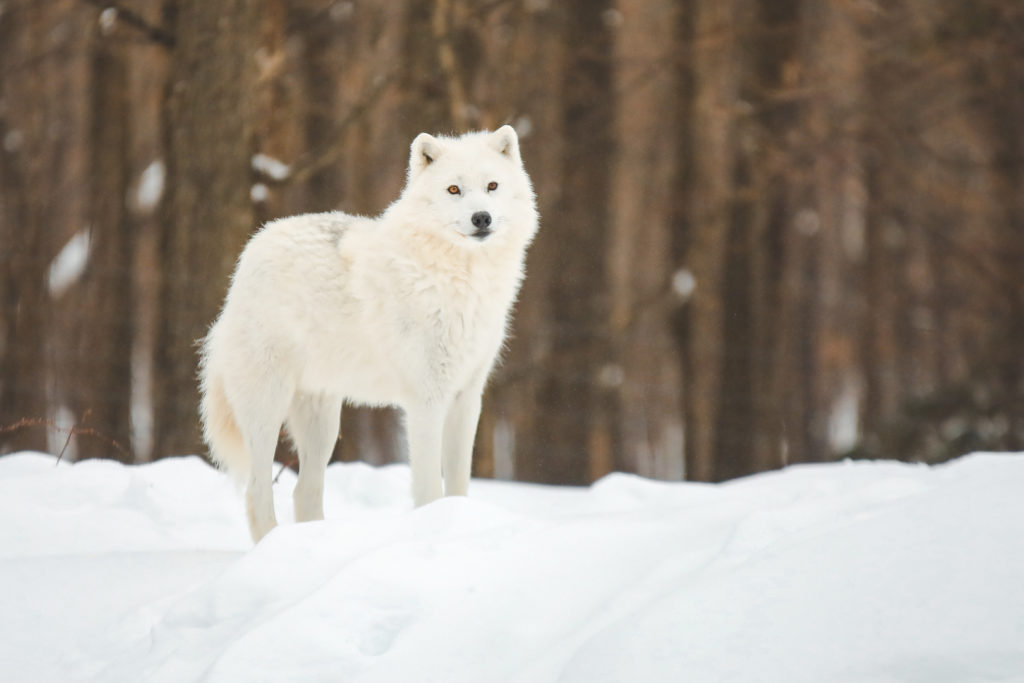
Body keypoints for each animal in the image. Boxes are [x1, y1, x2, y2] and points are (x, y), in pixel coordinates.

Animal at [199, 126, 538, 542]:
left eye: (492, 186)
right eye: (453, 189)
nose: (481, 218)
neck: (458, 280)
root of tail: (253, 248)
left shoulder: (466, 397)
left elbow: (459, 484)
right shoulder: (426, 401)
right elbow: (429, 487)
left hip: (323, 424)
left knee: (303, 491)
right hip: (267, 412)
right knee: (258, 491)